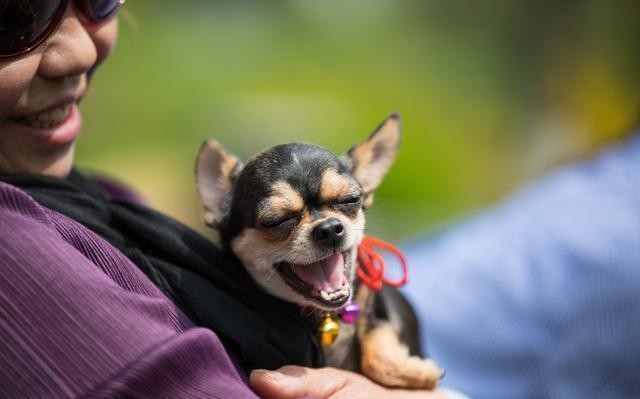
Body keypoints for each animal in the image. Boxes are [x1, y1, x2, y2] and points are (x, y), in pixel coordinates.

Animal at [196, 115, 440, 390]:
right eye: (276, 221)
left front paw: (413, 371)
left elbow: (376, 338)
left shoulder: (376, 303)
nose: (329, 229)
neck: (324, 315)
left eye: (350, 199)